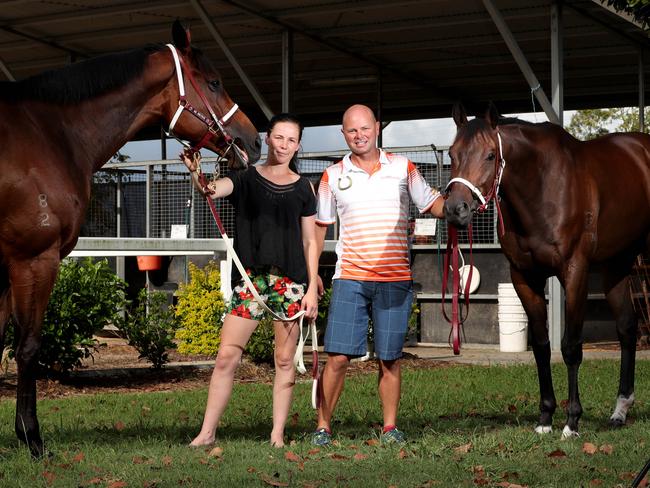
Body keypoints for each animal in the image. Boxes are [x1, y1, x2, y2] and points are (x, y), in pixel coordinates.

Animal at [0, 21, 260, 456]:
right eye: (214, 82)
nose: (253, 141)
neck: (49, 136)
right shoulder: (33, 260)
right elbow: (28, 345)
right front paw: (31, 438)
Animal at [446, 103, 648, 438]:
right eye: (452, 153)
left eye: (490, 155)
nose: (455, 210)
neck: (542, 187)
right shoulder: (524, 276)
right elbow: (541, 347)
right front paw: (545, 418)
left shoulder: (575, 272)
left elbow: (571, 347)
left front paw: (572, 421)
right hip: (616, 266)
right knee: (627, 328)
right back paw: (620, 411)